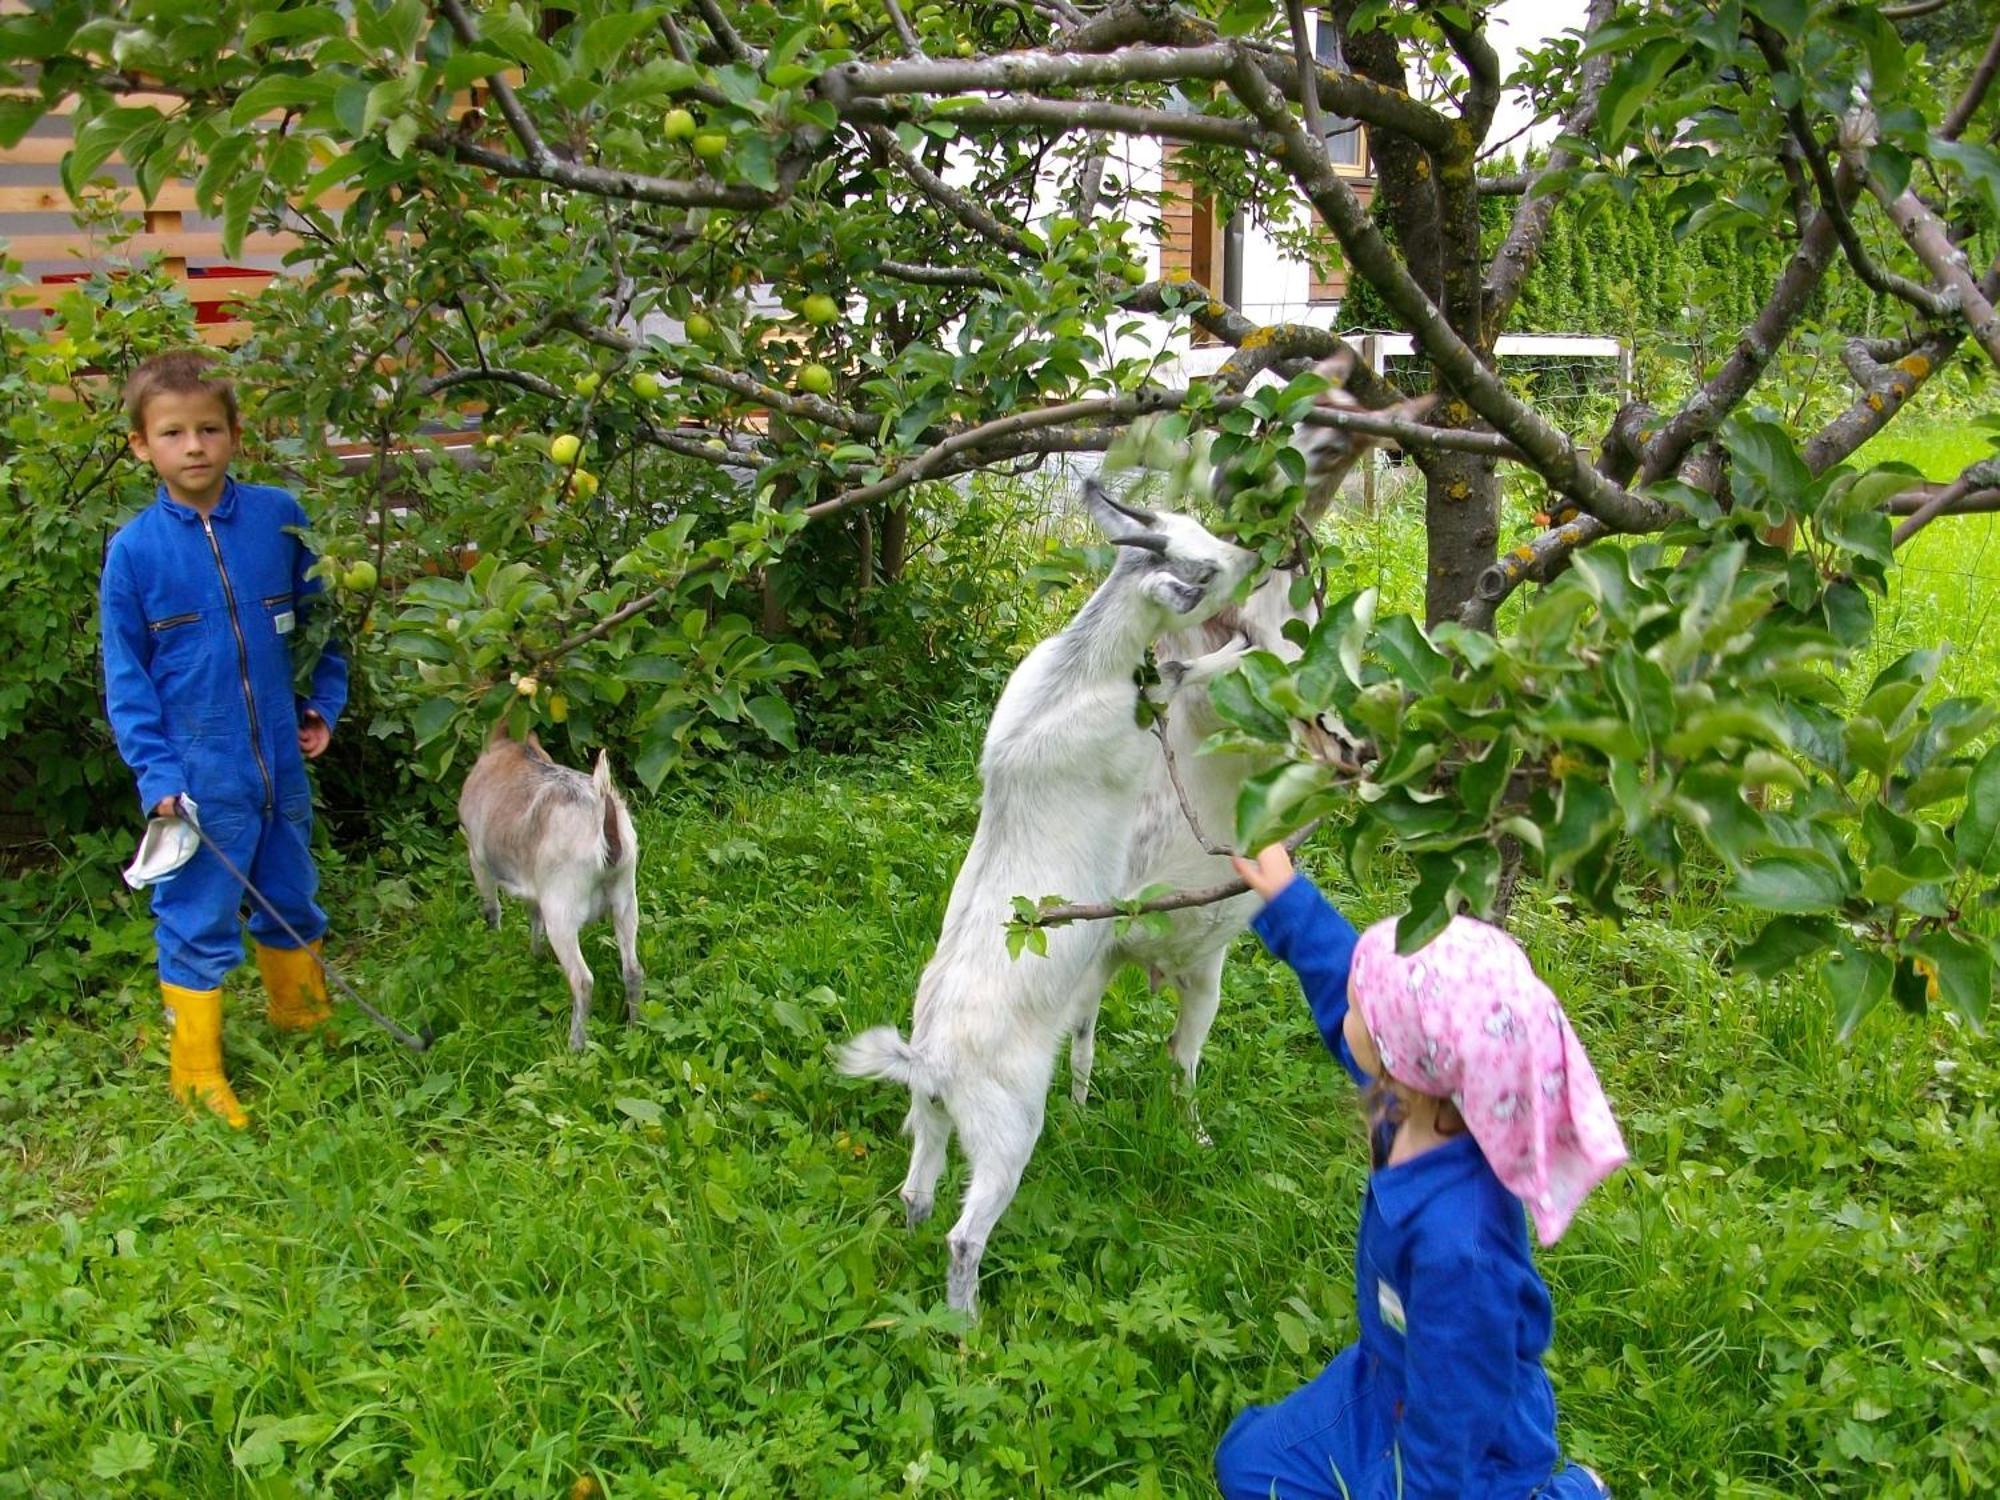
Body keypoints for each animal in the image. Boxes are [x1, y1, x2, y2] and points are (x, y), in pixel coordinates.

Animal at [458, 728, 640, 1056]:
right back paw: (635, 1029)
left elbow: (492, 910)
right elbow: (533, 917)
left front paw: (494, 946)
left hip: (563, 911)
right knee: (632, 969)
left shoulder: (477, 858)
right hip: (625, 898)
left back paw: (575, 1046)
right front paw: (536, 956)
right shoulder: (536, 888)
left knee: (582, 980)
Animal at [836, 356, 1432, 1312]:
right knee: (968, 1229)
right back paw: (967, 1323)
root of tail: (928, 1063)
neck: (1080, 672)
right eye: (1208, 565)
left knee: (919, 1188)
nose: (1265, 551)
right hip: (1007, 1129)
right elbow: (1203, 672)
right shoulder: (1138, 728)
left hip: (931, 1125)